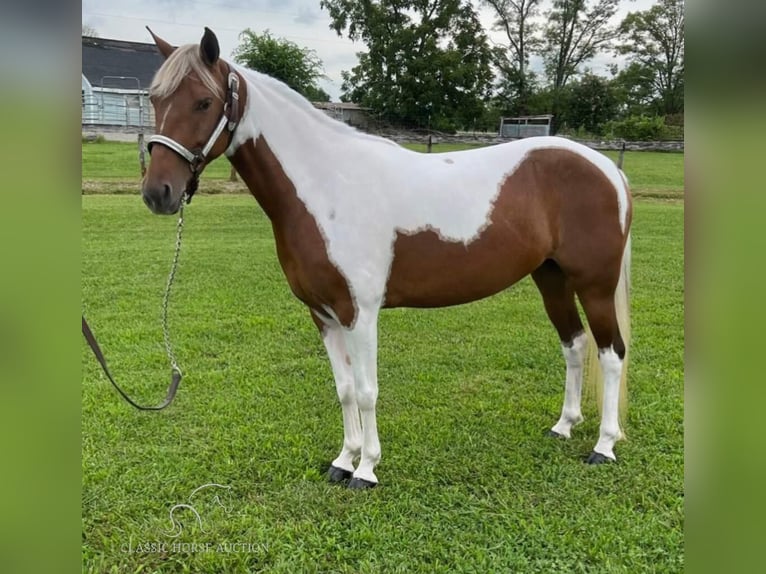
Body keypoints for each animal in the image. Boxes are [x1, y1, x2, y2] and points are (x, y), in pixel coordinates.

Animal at [141, 27, 632, 490]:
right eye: (155, 98)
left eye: (204, 101)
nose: (157, 193)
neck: (326, 186)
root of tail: (608, 169)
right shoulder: (323, 314)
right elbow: (343, 390)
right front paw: (343, 461)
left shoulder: (359, 312)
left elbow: (366, 391)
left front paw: (367, 470)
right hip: (551, 278)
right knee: (574, 345)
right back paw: (563, 426)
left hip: (595, 284)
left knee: (611, 353)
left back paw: (604, 446)